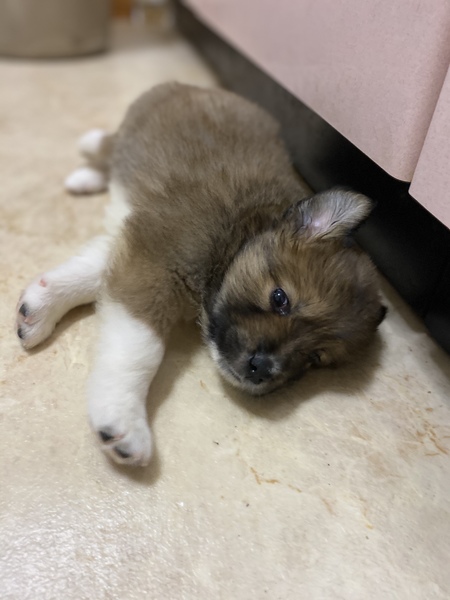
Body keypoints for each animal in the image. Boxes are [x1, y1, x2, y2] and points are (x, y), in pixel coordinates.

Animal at [16, 83, 385, 466]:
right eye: (280, 298)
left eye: (315, 358)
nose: (262, 368)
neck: (234, 233)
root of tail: (198, 86)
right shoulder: (155, 266)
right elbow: (140, 348)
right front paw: (125, 420)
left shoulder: (141, 245)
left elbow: (93, 270)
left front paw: (41, 305)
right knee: (109, 144)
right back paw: (87, 158)